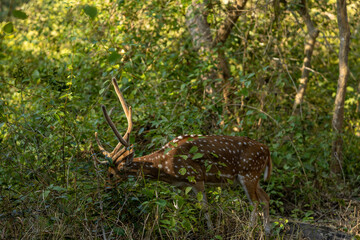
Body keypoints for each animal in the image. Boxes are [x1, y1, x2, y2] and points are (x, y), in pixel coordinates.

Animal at [94, 78, 272, 234]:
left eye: (111, 174)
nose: (105, 189)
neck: (165, 165)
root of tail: (267, 150)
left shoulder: (197, 177)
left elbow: (205, 208)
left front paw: (211, 232)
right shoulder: (178, 185)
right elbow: (176, 211)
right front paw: (175, 231)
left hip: (249, 173)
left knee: (255, 203)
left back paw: (250, 231)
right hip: (253, 177)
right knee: (265, 197)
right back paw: (267, 232)